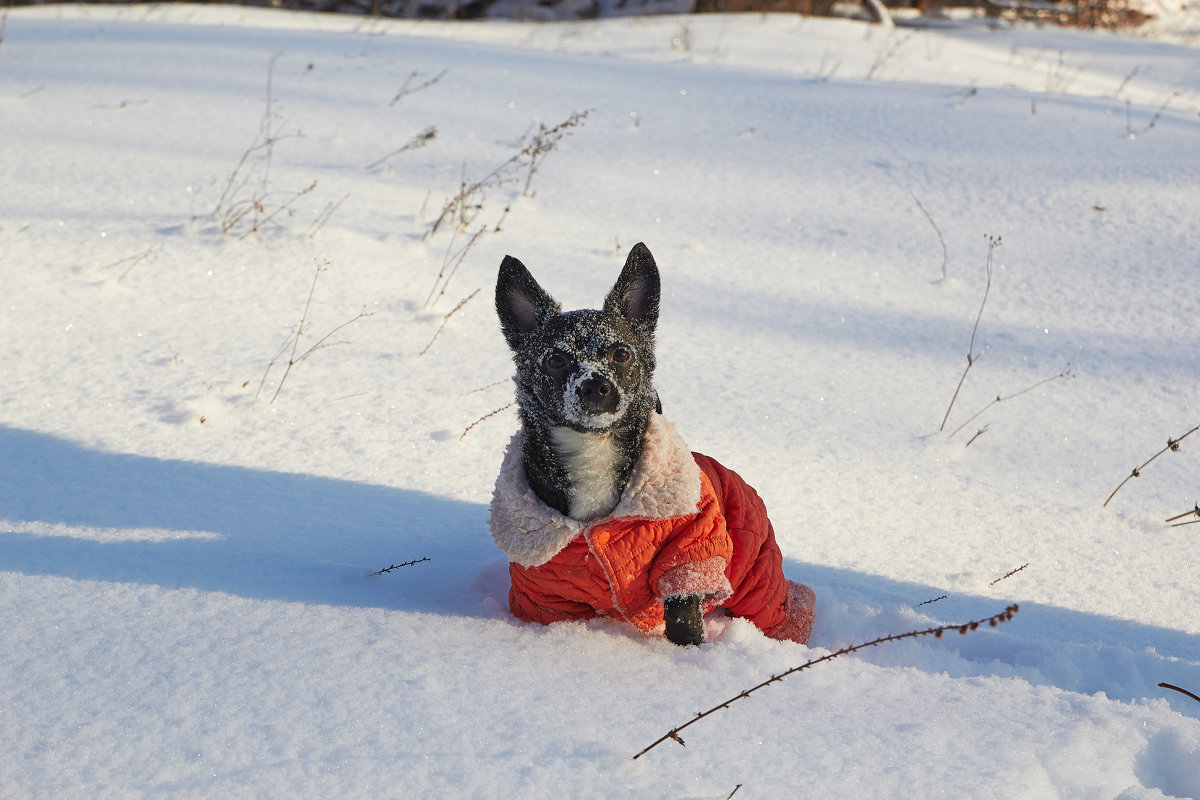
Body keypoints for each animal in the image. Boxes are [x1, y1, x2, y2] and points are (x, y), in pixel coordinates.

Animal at [487, 241, 816, 647]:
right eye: (556, 360)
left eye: (622, 354)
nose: (596, 386)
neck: (591, 452)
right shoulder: (543, 585)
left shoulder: (690, 550)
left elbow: (684, 609)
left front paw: (690, 654)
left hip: (756, 576)